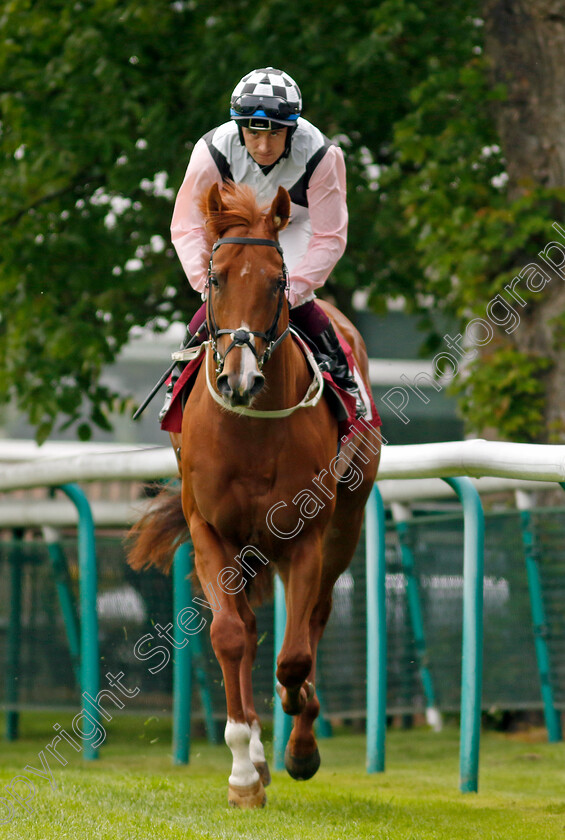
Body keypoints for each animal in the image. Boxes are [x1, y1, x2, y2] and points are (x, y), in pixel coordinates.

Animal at [129, 182, 378, 808]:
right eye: (216, 279)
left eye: (276, 281)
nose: (239, 379)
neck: (251, 427)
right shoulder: (209, 529)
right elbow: (229, 635)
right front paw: (243, 770)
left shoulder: (309, 534)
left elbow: (295, 656)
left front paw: (301, 732)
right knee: (245, 627)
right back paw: (258, 758)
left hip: (346, 522)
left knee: (315, 618)